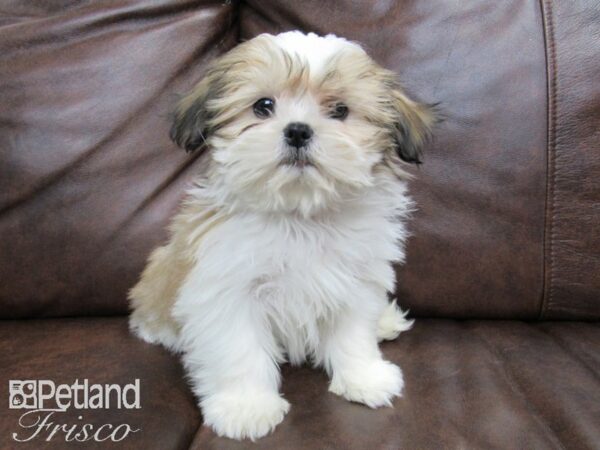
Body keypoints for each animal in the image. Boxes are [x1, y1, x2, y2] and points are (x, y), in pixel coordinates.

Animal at [129, 30, 434, 440]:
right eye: (263, 106)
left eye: (340, 110)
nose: (298, 130)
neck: (299, 214)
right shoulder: (227, 288)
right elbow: (239, 348)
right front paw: (246, 406)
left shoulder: (355, 280)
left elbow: (353, 333)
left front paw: (364, 377)